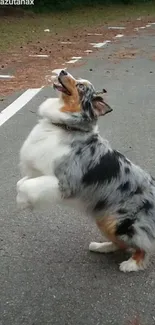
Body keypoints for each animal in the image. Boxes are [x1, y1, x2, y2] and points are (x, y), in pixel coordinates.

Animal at [16, 70, 155, 270]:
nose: (63, 71)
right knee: (120, 244)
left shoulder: (65, 182)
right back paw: (101, 247)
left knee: (142, 244)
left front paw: (21, 202)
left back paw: (132, 264)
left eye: (81, 86)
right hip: (104, 219)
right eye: (78, 79)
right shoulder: (41, 169)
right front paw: (24, 200)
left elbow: (26, 186)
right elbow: (22, 182)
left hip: (122, 223)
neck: (67, 125)